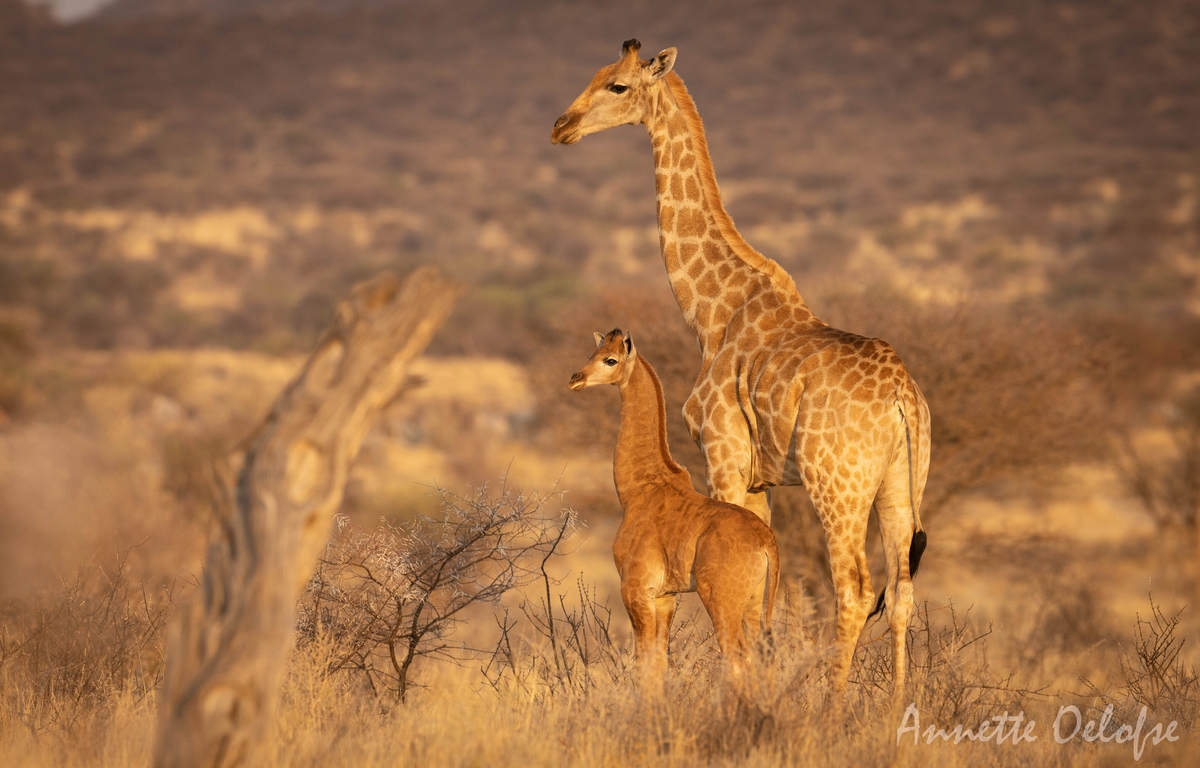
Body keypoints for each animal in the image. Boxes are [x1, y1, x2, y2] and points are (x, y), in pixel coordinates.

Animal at [570, 329, 780, 695]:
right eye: (592, 352)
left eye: (610, 359)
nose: (575, 379)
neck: (640, 488)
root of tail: (767, 542)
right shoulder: (665, 596)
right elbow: (659, 664)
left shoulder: (635, 590)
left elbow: (644, 665)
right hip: (753, 602)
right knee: (758, 658)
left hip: (720, 602)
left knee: (737, 659)